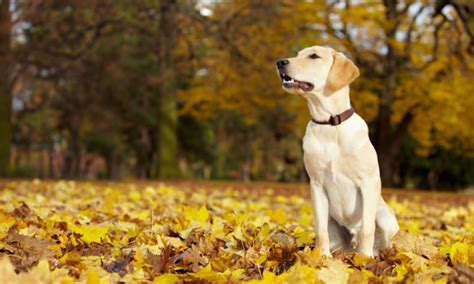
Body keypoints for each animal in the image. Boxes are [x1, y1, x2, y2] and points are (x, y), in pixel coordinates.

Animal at [276, 45, 398, 256]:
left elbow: (367, 228)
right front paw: (322, 258)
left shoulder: (369, 181)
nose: (280, 62)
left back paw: (374, 254)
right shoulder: (316, 184)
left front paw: (365, 259)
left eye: (314, 56)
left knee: (379, 239)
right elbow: (320, 230)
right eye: (298, 54)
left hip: (385, 216)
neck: (330, 124)